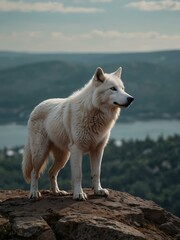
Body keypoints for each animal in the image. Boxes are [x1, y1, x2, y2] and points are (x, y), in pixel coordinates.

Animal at [22, 66, 134, 200]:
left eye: (123, 88)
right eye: (113, 88)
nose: (131, 99)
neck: (95, 112)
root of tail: (35, 108)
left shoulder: (98, 150)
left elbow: (96, 173)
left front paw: (98, 191)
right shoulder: (77, 150)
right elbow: (78, 174)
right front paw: (79, 194)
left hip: (63, 157)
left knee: (51, 172)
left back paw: (57, 192)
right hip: (41, 153)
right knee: (34, 172)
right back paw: (34, 193)